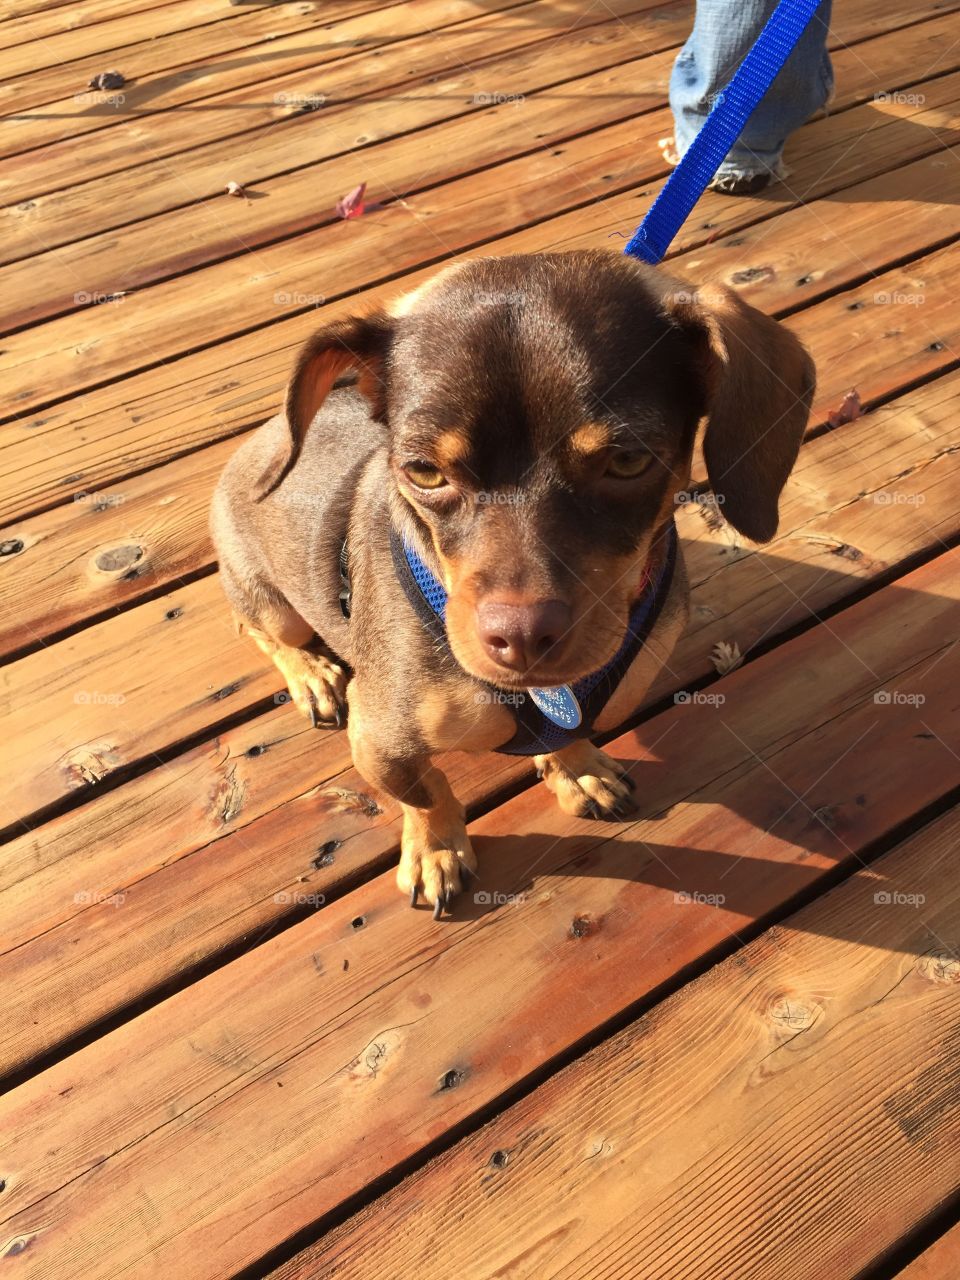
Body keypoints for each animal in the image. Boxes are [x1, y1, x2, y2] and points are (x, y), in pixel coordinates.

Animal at [213, 247, 814, 911]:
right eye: (423, 471)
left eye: (629, 460)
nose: (522, 639)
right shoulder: (381, 742)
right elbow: (427, 793)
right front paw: (436, 852)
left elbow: (565, 735)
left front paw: (577, 769)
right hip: (275, 607)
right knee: (256, 628)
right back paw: (312, 674)